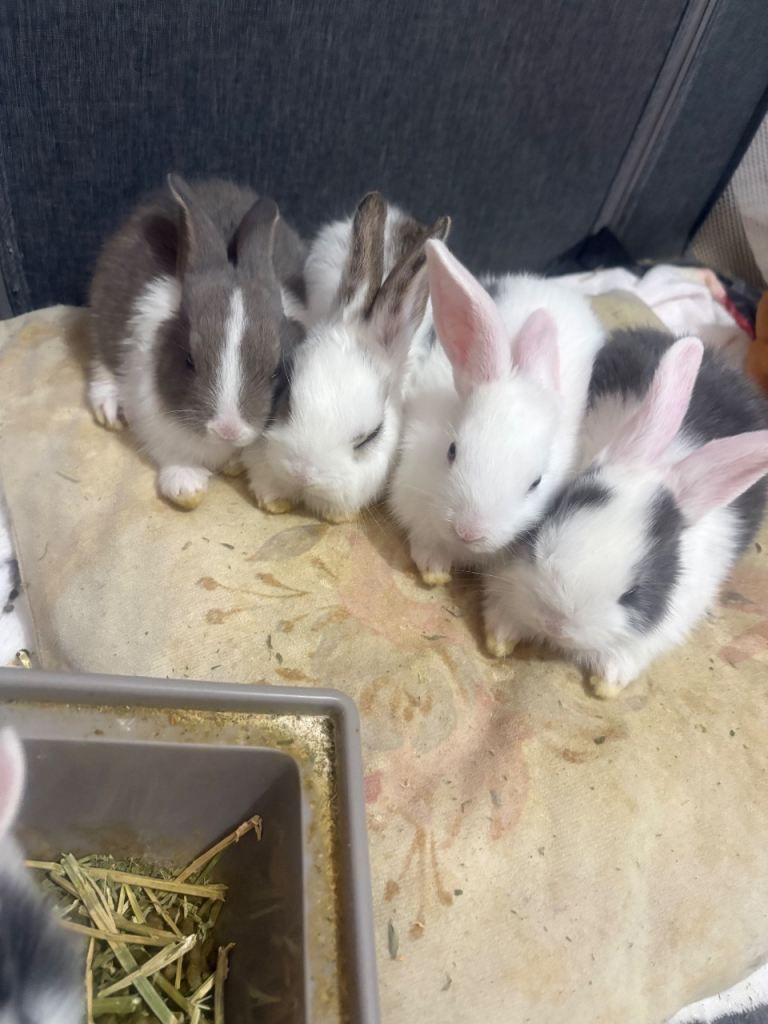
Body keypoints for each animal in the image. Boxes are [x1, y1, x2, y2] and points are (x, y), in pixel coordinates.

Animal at [88, 174, 306, 509]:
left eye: (275, 371)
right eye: (189, 360)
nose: (228, 430)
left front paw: (275, 494)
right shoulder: (151, 414)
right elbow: (173, 452)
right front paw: (186, 486)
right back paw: (108, 408)